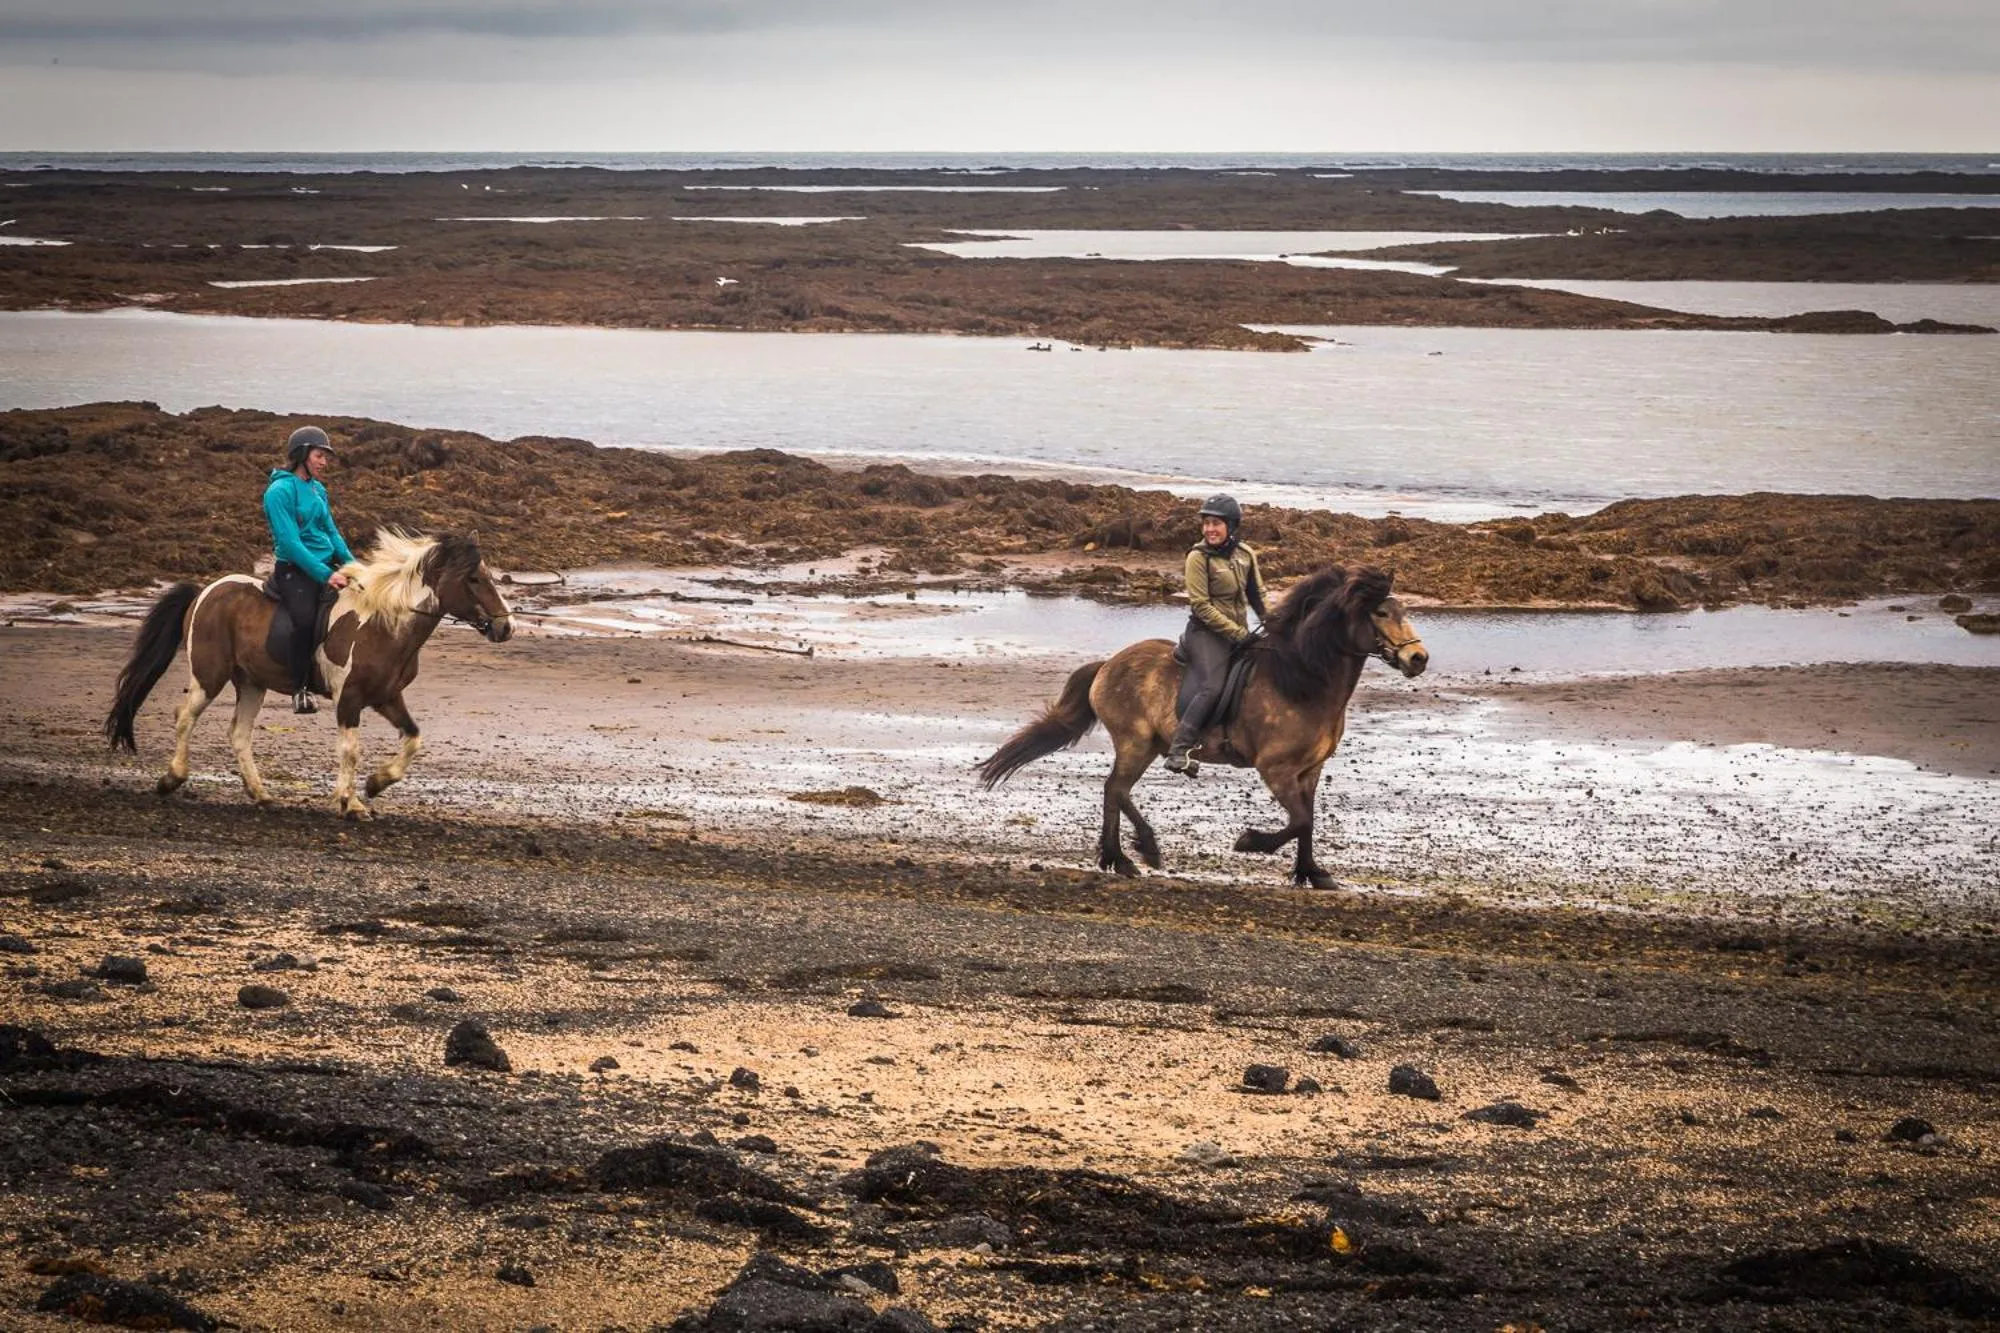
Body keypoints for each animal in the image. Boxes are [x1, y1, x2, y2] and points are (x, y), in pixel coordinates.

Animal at [105, 531, 514, 819]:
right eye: (474, 579)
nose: (505, 627)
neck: (385, 624)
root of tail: (205, 591)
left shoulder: (386, 696)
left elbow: (413, 738)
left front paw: (376, 784)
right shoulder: (349, 698)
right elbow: (351, 749)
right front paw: (351, 803)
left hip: (252, 682)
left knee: (239, 733)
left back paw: (260, 794)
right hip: (210, 675)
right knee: (185, 717)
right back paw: (172, 778)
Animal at [975, 565, 1427, 888]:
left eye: (1404, 611)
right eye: (1381, 612)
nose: (1418, 659)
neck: (1302, 680)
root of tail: (1107, 665)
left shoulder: (1309, 771)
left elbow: (1308, 820)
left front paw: (1312, 873)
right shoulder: (1275, 769)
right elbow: (1299, 820)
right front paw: (1250, 842)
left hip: (1150, 745)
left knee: (1116, 791)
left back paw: (1129, 855)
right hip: (1135, 743)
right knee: (1115, 789)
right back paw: (1131, 856)